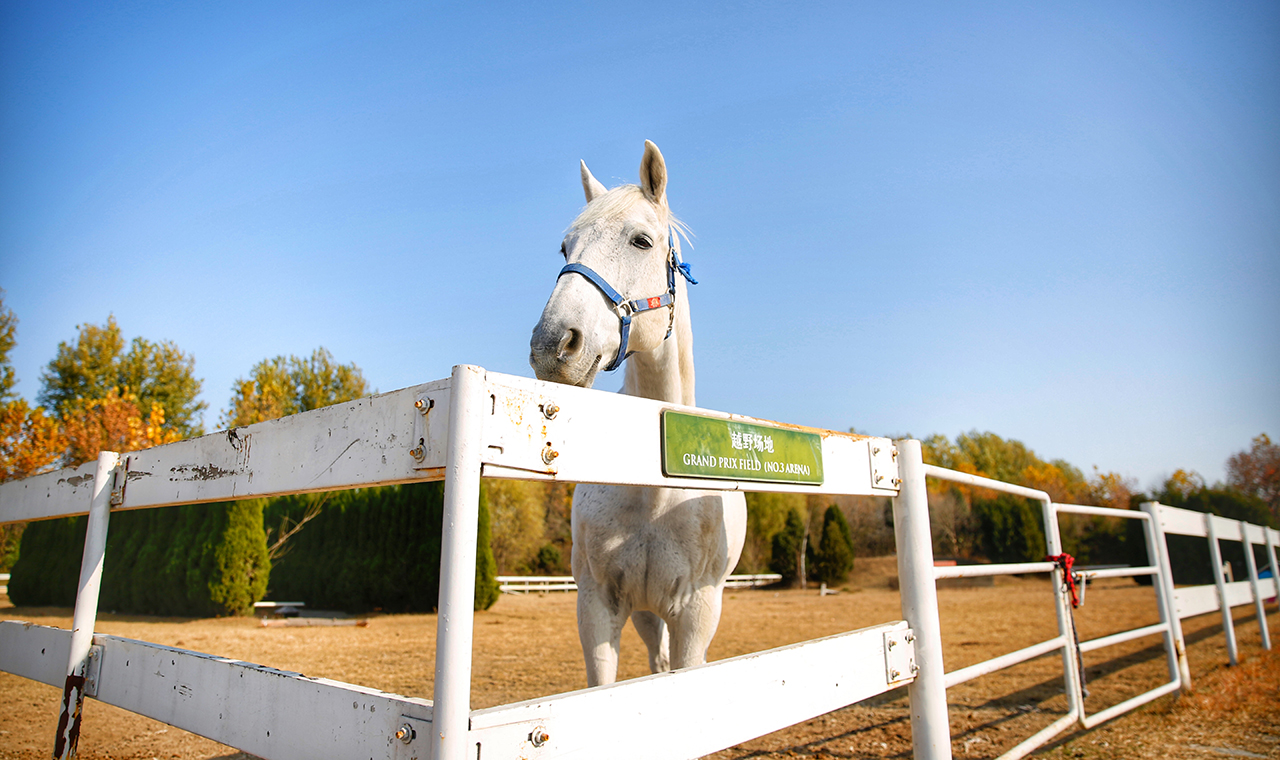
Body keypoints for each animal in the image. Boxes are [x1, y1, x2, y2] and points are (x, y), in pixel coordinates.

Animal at [529, 138, 747, 685]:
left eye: (642, 241)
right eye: (565, 248)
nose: (552, 345)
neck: (653, 486)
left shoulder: (697, 613)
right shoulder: (597, 605)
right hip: (647, 613)